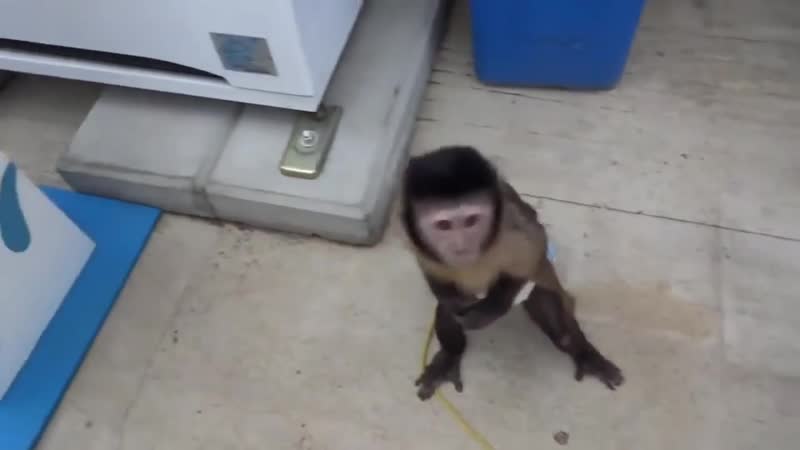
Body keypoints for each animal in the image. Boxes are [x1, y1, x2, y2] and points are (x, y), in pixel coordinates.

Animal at [401, 145, 624, 400]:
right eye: (444, 225)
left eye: (471, 220)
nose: (460, 245)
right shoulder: (415, 238)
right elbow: (436, 278)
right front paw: (452, 302)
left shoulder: (512, 227)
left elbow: (535, 249)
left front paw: (491, 309)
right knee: (447, 313)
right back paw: (450, 355)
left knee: (555, 314)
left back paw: (583, 351)